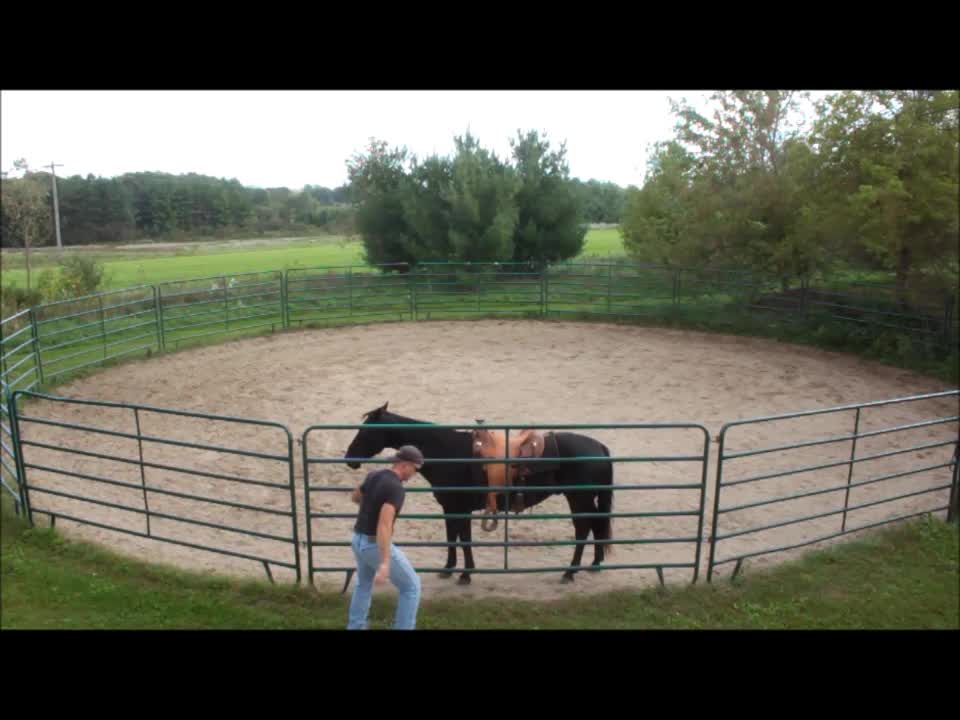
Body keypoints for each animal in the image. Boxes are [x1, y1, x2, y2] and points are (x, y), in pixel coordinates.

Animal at [344, 404, 616, 584]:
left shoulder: (459, 508)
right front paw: (449, 568)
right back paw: (594, 563)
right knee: (595, 524)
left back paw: (570, 571)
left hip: (578, 498)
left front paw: (465, 574)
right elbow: (453, 536)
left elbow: (462, 538)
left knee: (583, 527)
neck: (448, 452)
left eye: (366, 431)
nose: (349, 459)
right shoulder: (451, 508)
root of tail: (599, 447)